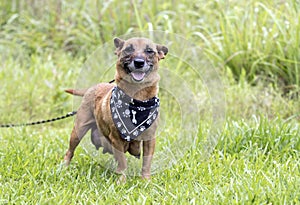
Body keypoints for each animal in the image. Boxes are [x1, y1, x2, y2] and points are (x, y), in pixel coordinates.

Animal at [63, 36, 168, 179]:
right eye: (128, 49)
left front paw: (146, 180)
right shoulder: (116, 139)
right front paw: (121, 180)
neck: (137, 99)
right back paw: (64, 168)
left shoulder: (150, 139)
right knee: (70, 151)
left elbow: (146, 163)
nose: (139, 62)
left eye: (149, 51)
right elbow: (122, 162)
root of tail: (93, 87)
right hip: (78, 130)